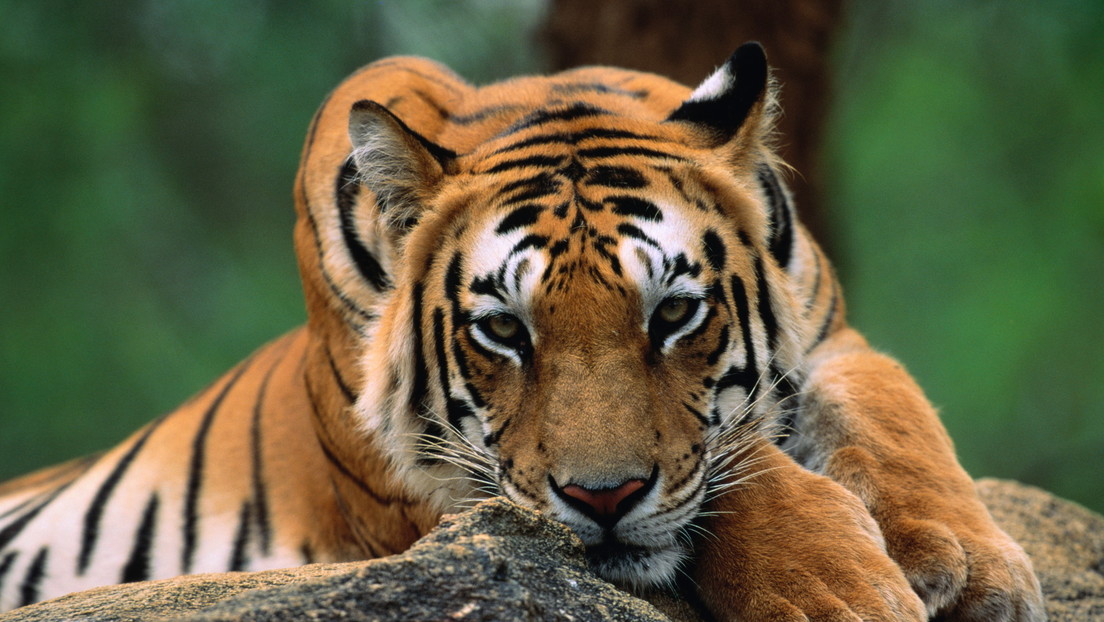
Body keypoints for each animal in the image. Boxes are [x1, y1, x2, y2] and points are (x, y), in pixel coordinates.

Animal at [0, 43, 1044, 620]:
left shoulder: (830, 338)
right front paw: (840, 593)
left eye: (673, 314)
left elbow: (895, 414)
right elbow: (738, 476)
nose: (603, 499)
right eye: (504, 331)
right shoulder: (425, 487)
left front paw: (974, 570)